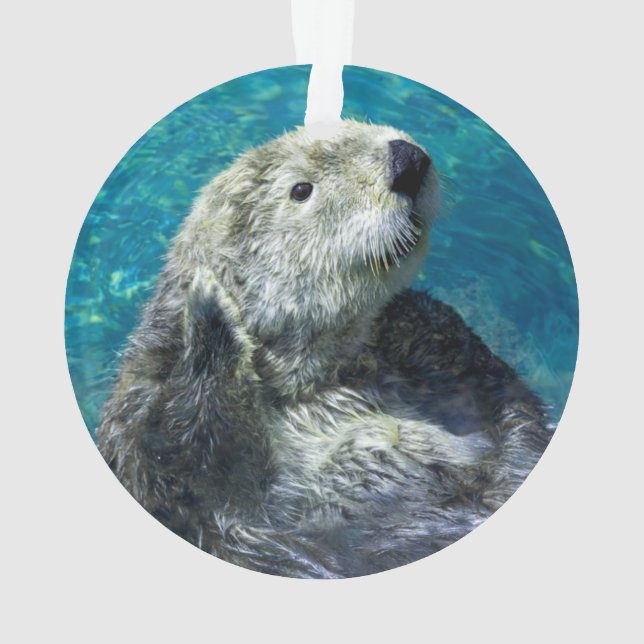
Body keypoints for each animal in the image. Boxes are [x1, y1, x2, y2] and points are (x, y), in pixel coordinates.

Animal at [98, 120, 551, 578]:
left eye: (359, 125)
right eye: (301, 190)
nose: (406, 159)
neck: (321, 381)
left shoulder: (444, 356)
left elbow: (505, 401)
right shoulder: (146, 427)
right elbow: (193, 468)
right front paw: (210, 309)